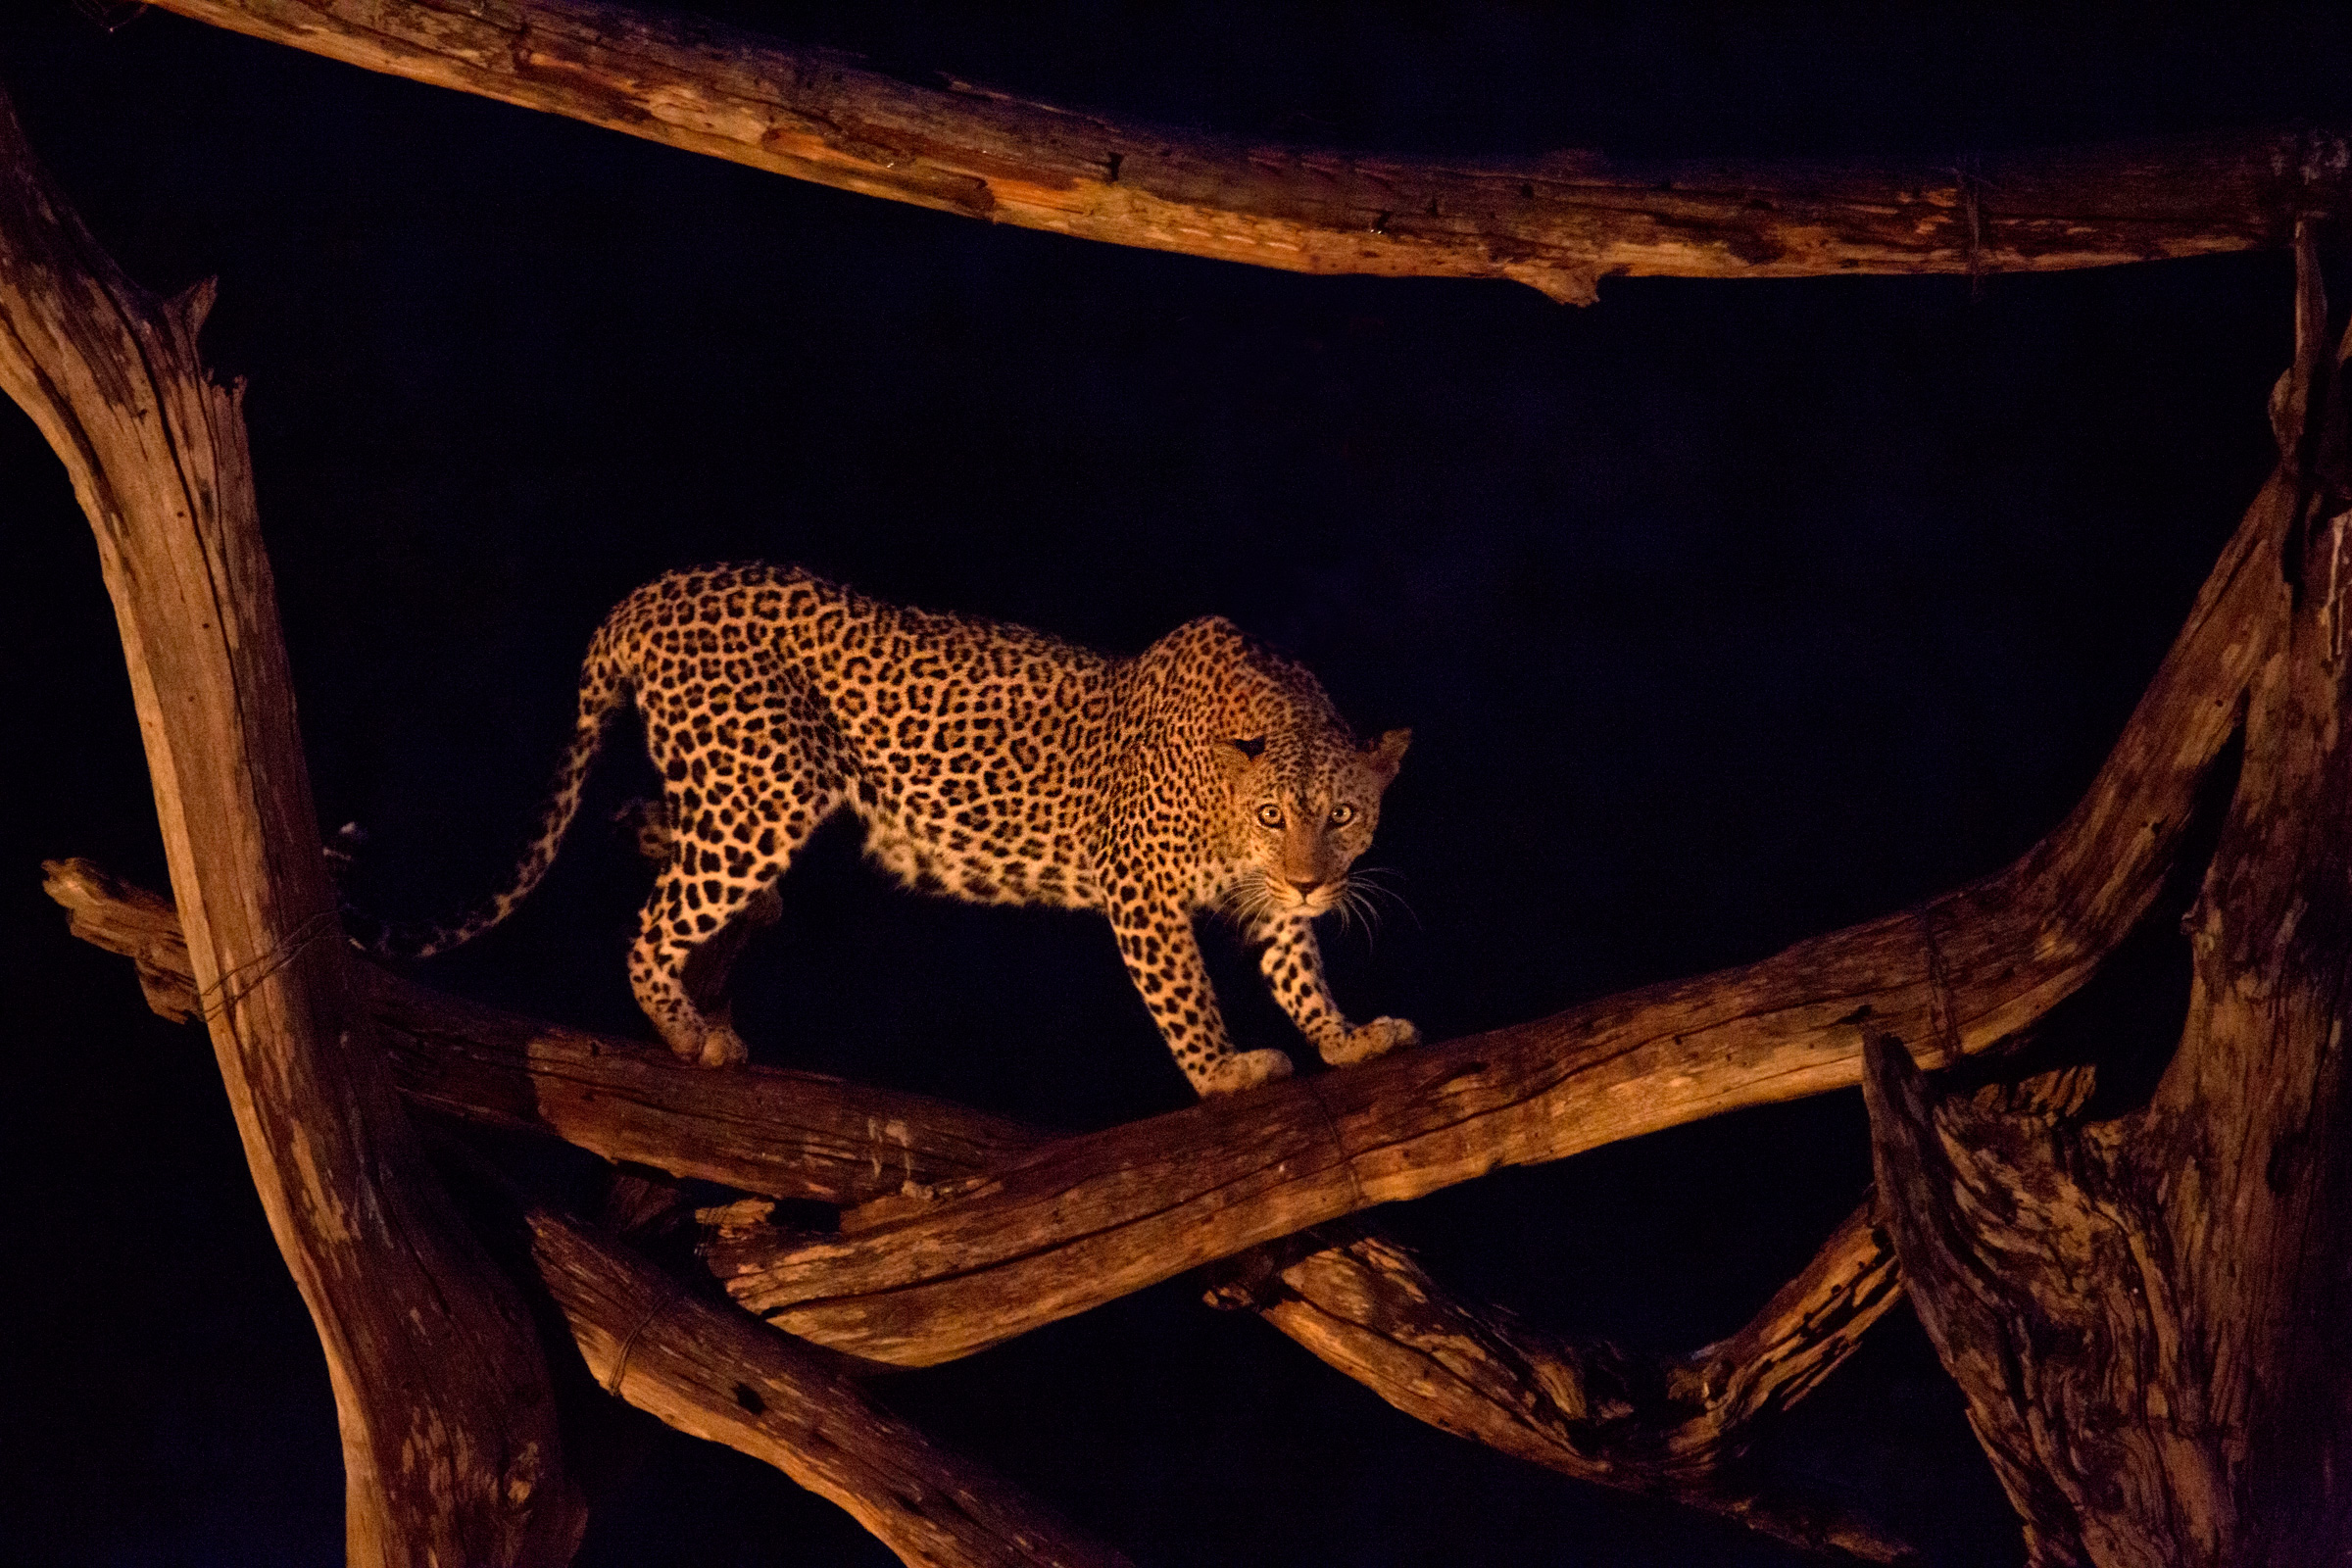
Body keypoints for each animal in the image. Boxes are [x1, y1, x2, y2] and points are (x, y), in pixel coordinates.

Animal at [355, 562, 1417, 1096]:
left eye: (1344, 815)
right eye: (1274, 812)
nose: (1315, 881)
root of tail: (646, 594)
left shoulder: (1271, 901)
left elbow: (1299, 969)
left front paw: (1348, 1038)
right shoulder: (1143, 890)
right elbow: (1186, 994)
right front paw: (1225, 1071)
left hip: (729, 782)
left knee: (642, 822)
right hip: (767, 788)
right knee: (653, 925)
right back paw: (693, 1032)